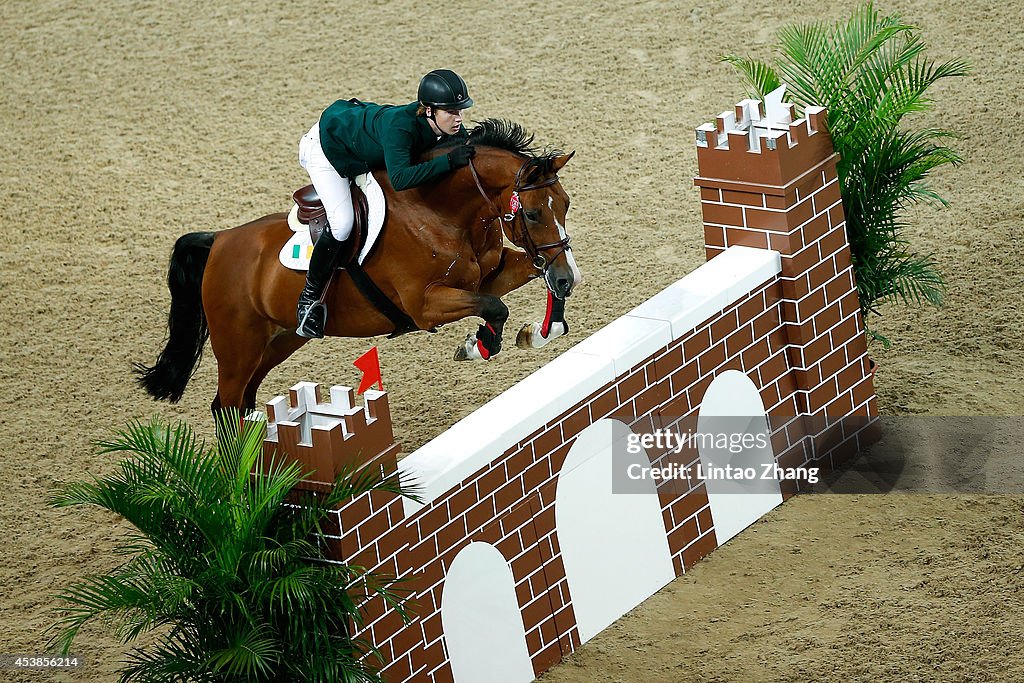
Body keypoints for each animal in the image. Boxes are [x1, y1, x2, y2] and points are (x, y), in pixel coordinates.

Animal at [135, 120, 581, 413]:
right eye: (534, 213)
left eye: (565, 204)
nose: (568, 279)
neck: (438, 210)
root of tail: (219, 241)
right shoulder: (425, 306)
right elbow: (495, 307)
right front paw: (479, 345)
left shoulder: (490, 274)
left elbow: (521, 282)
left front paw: (541, 331)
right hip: (236, 349)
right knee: (225, 406)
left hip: (279, 341)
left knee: (242, 401)